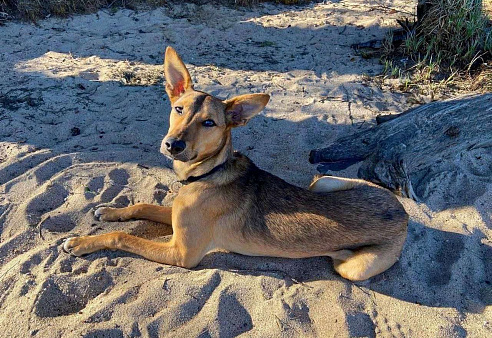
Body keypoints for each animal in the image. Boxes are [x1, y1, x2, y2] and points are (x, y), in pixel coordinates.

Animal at [62, 46, 408, 282]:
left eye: (209, 123)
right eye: (178, 109)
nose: (173, 145)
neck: (208, 173)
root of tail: (403, 212)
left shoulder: (183, 254)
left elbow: (123, 237)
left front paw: (81, 241)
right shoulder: (175, 218)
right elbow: (143, 206)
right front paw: (110, 211)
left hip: (355, 268)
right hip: (321, 182)